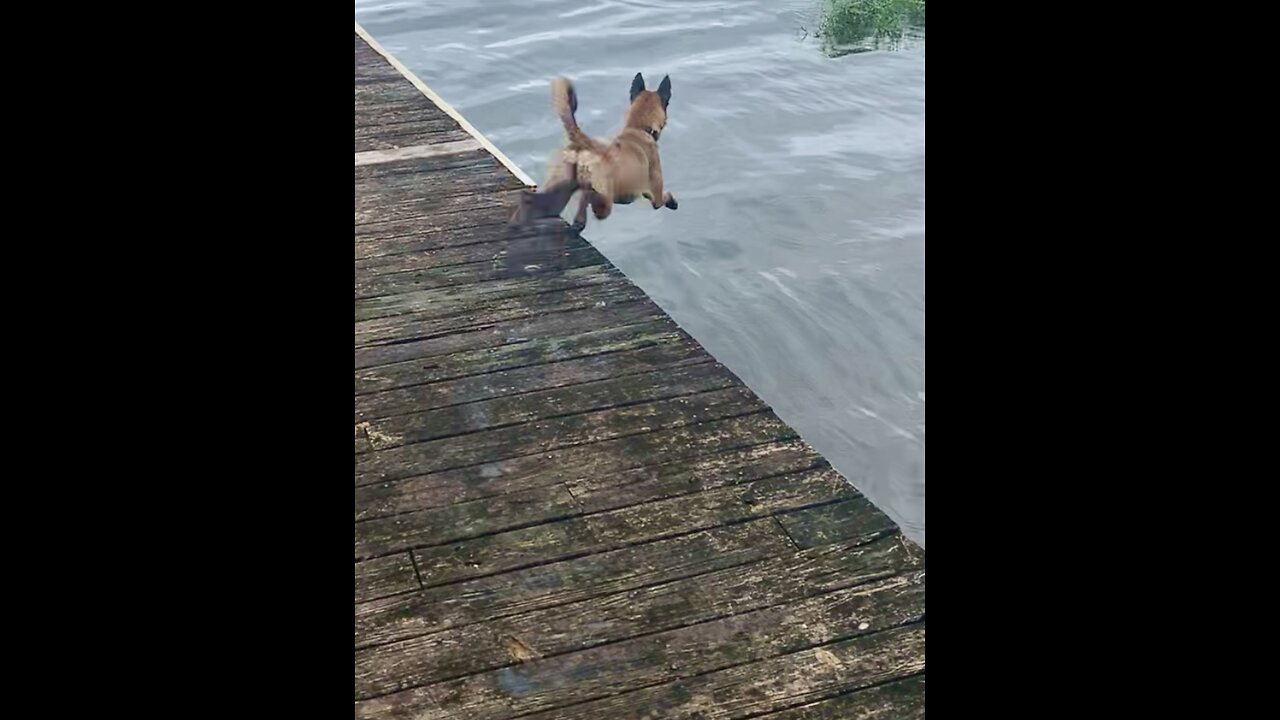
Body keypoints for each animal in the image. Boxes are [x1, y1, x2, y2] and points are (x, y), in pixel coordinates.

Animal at [542, 71, 675, 230]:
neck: (639, 129)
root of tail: (584, 143)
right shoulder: (656, 195)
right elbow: (662, 198)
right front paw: (672, 201)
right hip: (604, 202)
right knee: (589, 198)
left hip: (554, 184)